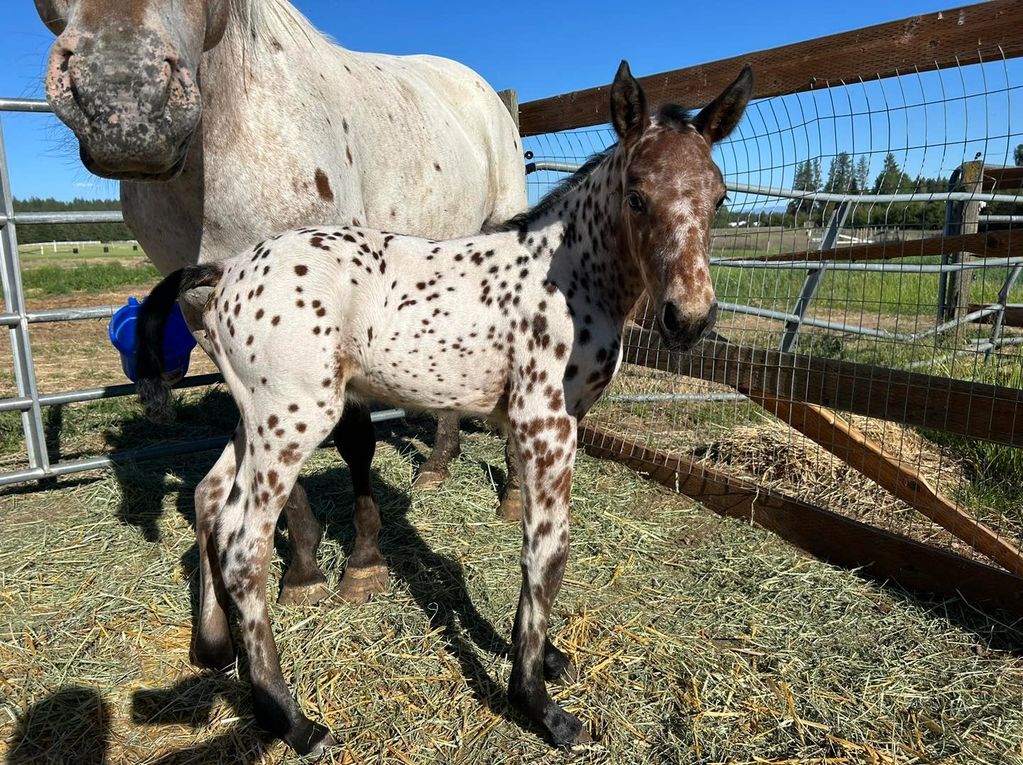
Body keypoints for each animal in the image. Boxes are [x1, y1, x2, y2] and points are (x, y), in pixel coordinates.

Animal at [32, 0, 528, 606]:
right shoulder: (217, 320)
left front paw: (363, 563)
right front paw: (304, 571)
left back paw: (513, 496)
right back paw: (438, 465)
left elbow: (355, 439)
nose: (123, 100)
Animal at [137, 60, 753, 755]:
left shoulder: (556, 422)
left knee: (211, 500)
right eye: (637, 195)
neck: (570, 276)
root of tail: (226, 270)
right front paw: (539, 705)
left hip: (256, 418)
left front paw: (548, 660)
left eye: (720, 197)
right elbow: (547, 552)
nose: (689, 319)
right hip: (292, 419)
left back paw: (217, 650)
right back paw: (290, 718)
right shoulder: (546, 424)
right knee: (245, 548)